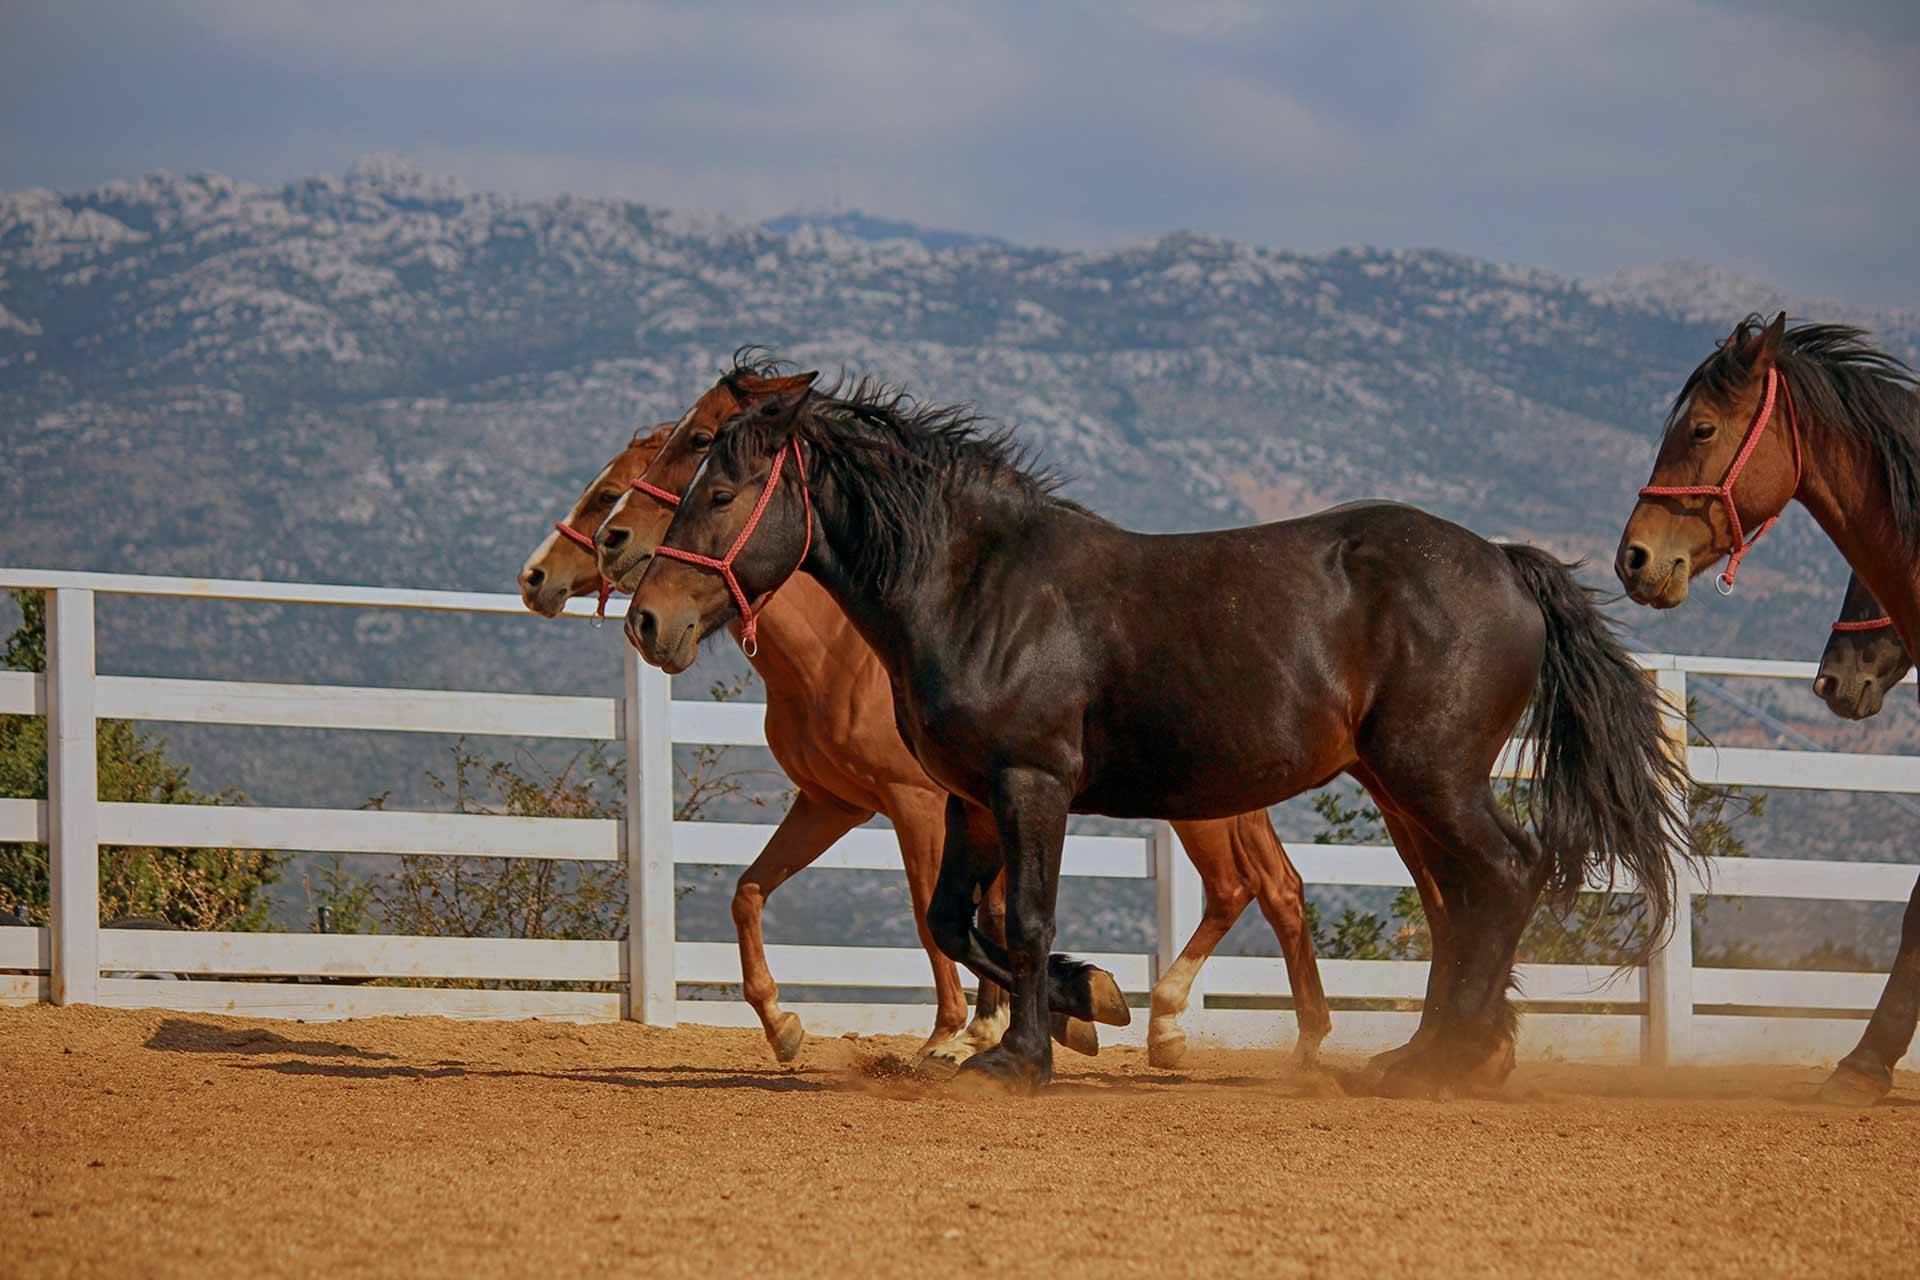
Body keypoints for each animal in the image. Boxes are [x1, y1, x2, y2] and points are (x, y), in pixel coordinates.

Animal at [526, 372, 1336, 1074]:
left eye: (698, 447)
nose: (547, 574)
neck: (847, 654)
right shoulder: (839, 803)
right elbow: (753, 892)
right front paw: (788, 1026)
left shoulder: (921, 801)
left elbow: (938, 914)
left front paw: (965, 1033)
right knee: (1277, 886)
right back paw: (1283, 1038)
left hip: (1197, 805)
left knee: (1239, 887)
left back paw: (1179, 1022)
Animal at [629, 376, 1681, 1097]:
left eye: (718, 491)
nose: (646, 620)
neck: (978, 586)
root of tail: (1504, 565)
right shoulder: (971, 798)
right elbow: (957, 919)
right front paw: (1088, 1002)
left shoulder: (1031, 785)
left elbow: (1025, 917)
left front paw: (1022, 1057)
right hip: (1402, 788)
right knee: (1458, 902)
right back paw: (1419, 1054)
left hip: (1434, 778)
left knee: (1506, 874)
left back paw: (1447, 1062)